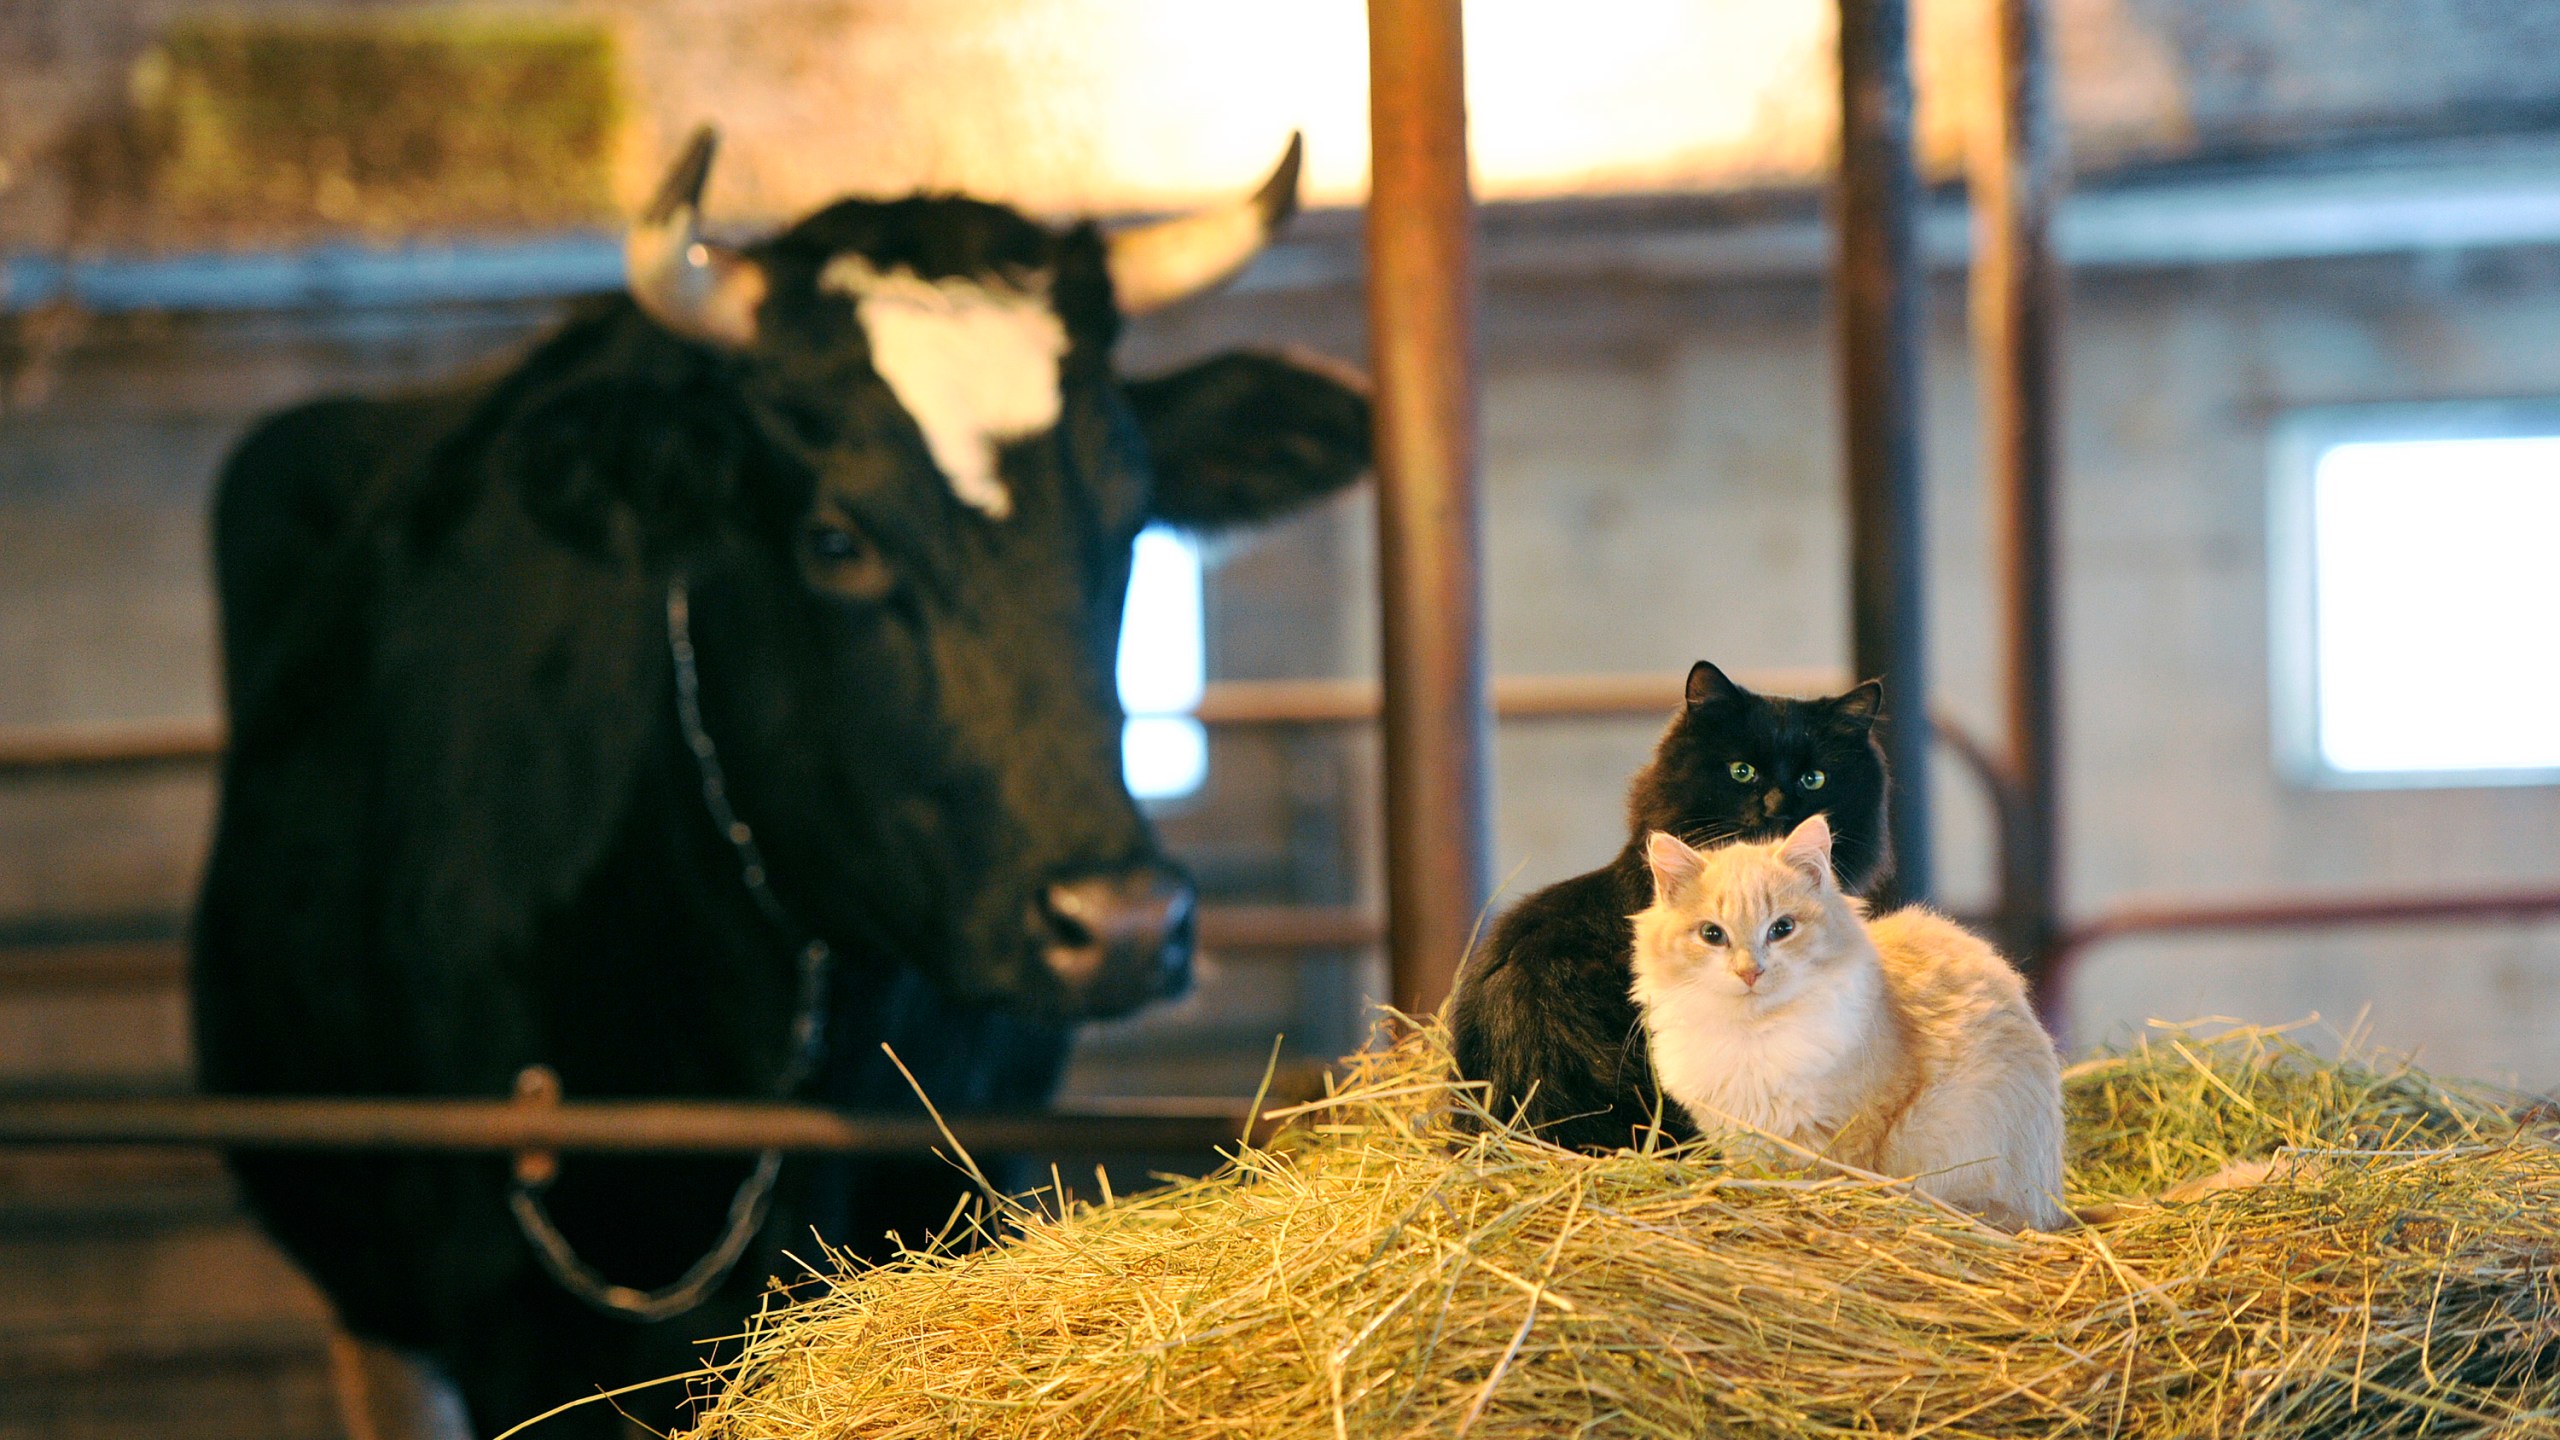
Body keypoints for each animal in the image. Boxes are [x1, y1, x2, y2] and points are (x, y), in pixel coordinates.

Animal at [1628, 814, 2068, 1229]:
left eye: (1782, 929)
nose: (1750, 972)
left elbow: (1829, 1173)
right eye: (1712, 935)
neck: (1754, 1035)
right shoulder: (1739, 1138)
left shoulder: (1849, 1130)